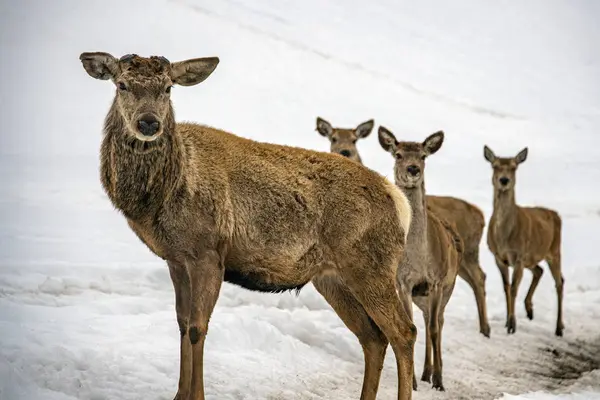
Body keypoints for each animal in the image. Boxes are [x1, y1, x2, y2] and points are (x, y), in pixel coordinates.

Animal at [79, 51, 418, 400]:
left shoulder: (209, 252)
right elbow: (182, 323)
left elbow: (198, 328)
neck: (164, 193)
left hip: (370, 265)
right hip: (332, 278)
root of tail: (399, 202)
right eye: (121, 84)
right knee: (372, 337)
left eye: (168, 88)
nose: (149, 123)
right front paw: (178, 395)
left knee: (404, 332)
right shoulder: (176, 258)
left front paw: (196, 395)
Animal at [378, 127, 462, 390]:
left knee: (438, 323)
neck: (419, 261)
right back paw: (425, 372)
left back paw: (434, 373)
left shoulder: (436, 281)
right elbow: (413, 324)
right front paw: (414, 381)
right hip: (421, 295)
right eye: (398, 154)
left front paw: (439, 381)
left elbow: (434, 329)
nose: (413, 169)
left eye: (423, 156)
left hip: (448, 287)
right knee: (425, 320)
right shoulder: (403, 284)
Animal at [482, 145, 564, 336]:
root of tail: (555, 214)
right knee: (539, 271)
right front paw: (507, 321)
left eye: (514, 167)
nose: (504, 180)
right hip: (532, 258)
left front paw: (512, 325)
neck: (504, 237)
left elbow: (513, 288)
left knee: (559, 282)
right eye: (495, 166)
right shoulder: (499, 257)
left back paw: (559, 327)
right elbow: (506, 287)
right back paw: (529, 310)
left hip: (554, 250)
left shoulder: (518, 256)